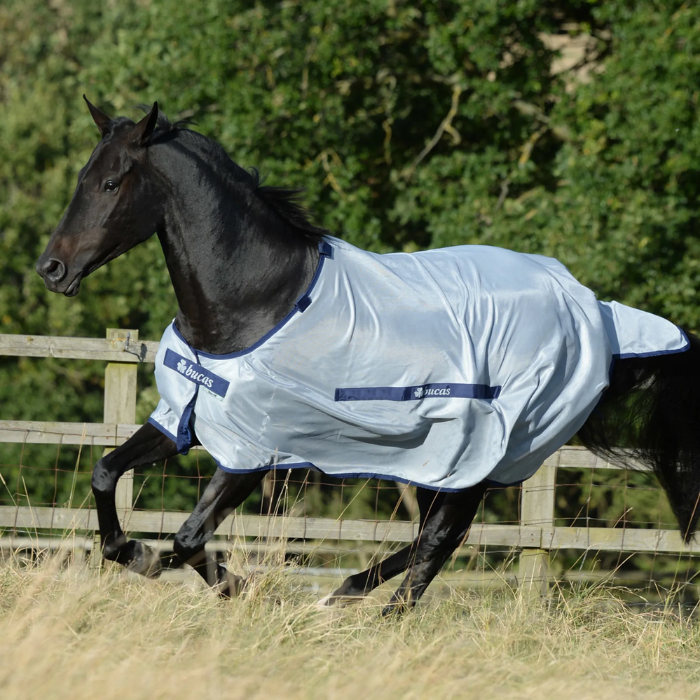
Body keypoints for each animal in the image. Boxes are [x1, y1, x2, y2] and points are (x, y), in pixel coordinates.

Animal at [35, 98, 700, 615]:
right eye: (82, 177)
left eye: (112, 183)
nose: (52, 269)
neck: (256, 300)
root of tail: (595, 310)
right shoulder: (186, 420)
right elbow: (105, 473)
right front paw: (134, 554)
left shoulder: (252, 451)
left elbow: (189, 537)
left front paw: (238, 590)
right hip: (447, 460)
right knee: (436, 535)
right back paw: (345, 594)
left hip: (483, 454)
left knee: (440, 540)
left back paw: (370, 615)